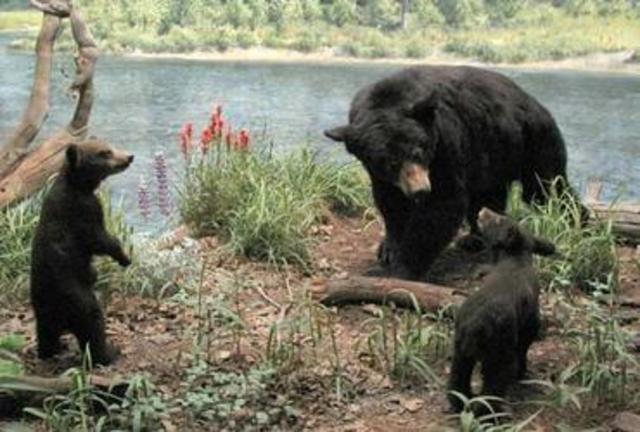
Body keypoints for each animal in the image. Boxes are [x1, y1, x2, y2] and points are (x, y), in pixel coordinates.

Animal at [30, 138, 134, 366]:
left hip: (43, 307)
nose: (129, 157)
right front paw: (124, 256)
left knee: (46, 333)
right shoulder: (84, 210)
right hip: (78, 298)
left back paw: (51, 350)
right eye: (105, 152)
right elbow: (99, 239)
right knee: (93, 325)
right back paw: (109, 352)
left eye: (110, 145)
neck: (79, 186)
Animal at [324, 65, 584, 280]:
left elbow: (444, 202)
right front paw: (389, 248)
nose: (420, 190)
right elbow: (390, 202)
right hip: (493, 158)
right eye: (389, 162)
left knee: (547, 189)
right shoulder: (383, 176)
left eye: (419, 150)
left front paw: (405, 266)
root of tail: (538, 105)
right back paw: (476, 237)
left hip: (533, 143)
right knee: (488, 198)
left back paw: (580, 221)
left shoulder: (446, 141)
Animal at [447, 207, 555, 416]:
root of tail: (474, 326)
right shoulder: (529, 322)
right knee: (494, 383)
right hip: (499, 350)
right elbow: (524, 346)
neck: (516, 258)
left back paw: (461, 403)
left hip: (460, 349)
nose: (483, 210)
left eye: (498, 219)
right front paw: (523, 373)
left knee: (458, 377)